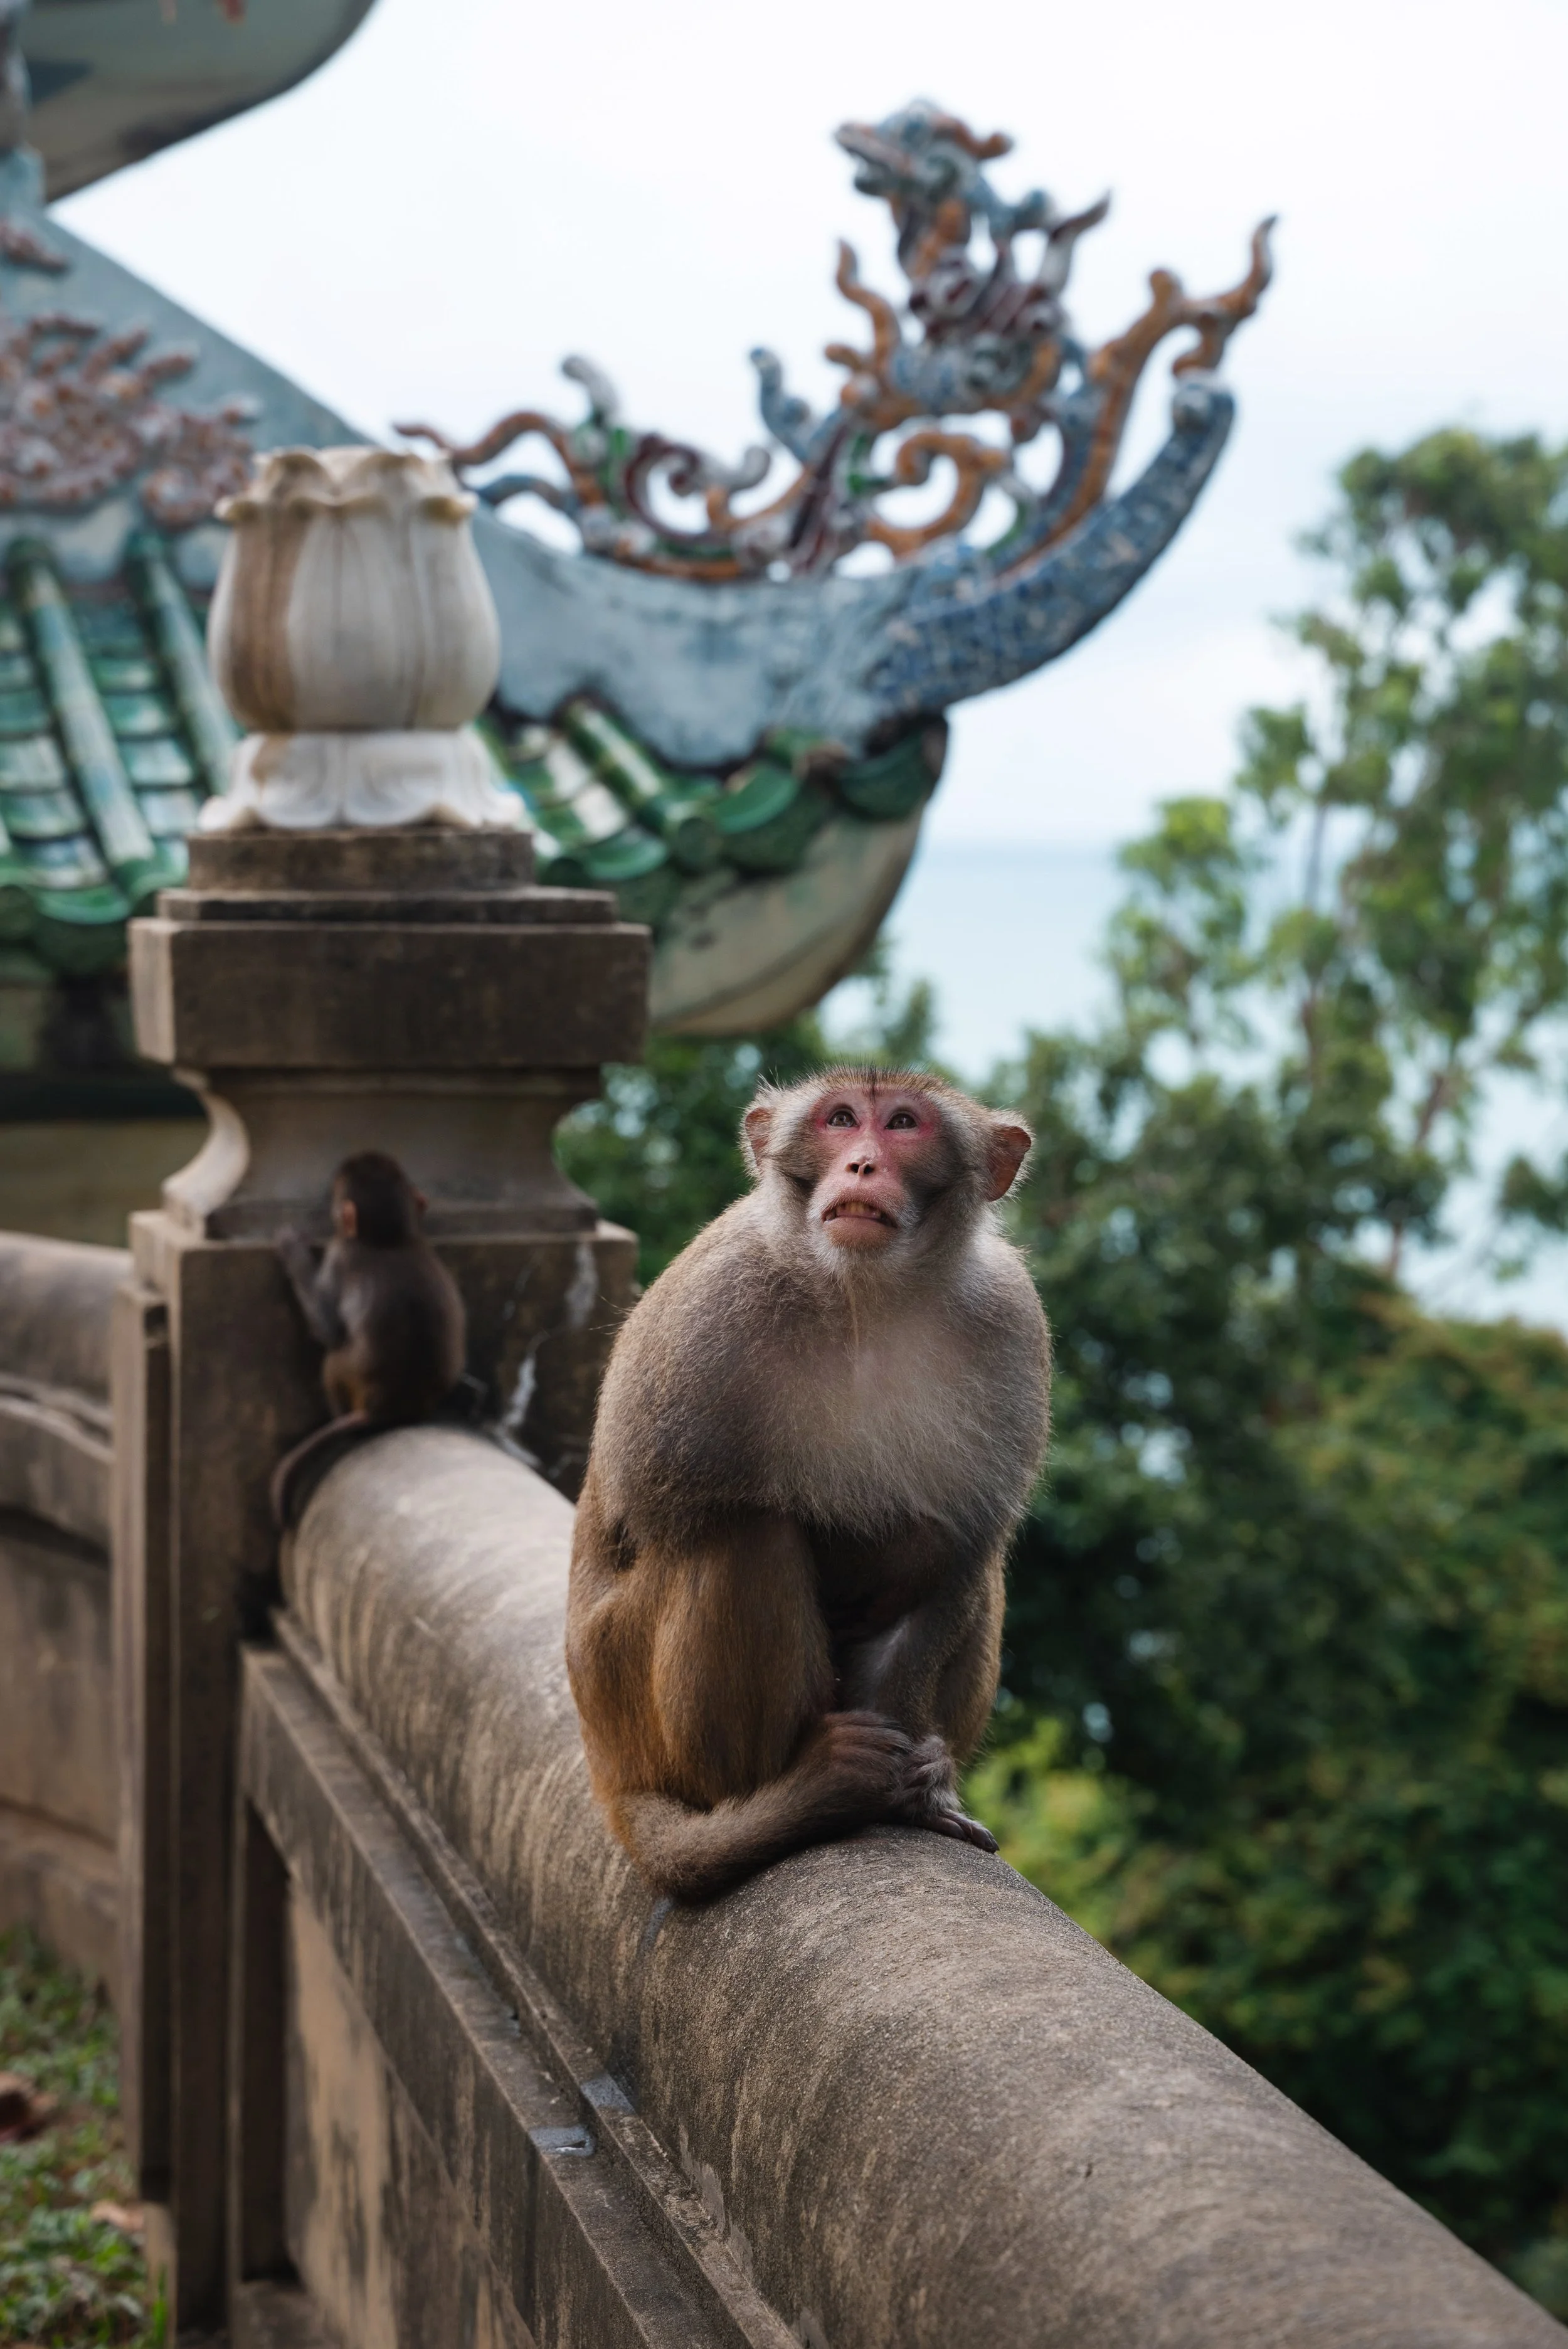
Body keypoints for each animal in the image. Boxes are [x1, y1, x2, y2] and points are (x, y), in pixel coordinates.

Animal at [270, 1151, 467, 1529]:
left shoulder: (340, 1253)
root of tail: (385, 1407)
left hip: (348, 1378)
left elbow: (328, 1328)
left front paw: (292, 1249)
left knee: (331, 1361)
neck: (389, 1238)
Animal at [565, 1065, 1050, 1901]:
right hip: (622, 1689)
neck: (865, 1294)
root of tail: (607, 1766)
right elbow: (645, 1505)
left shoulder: (1010, 1328)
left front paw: (913, 1791)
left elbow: (959, 1545)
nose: (861, 1163)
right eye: (840, 1119)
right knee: (742, 1529)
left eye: (903, 1123)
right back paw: (795, 1788)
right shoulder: (705, 1313)